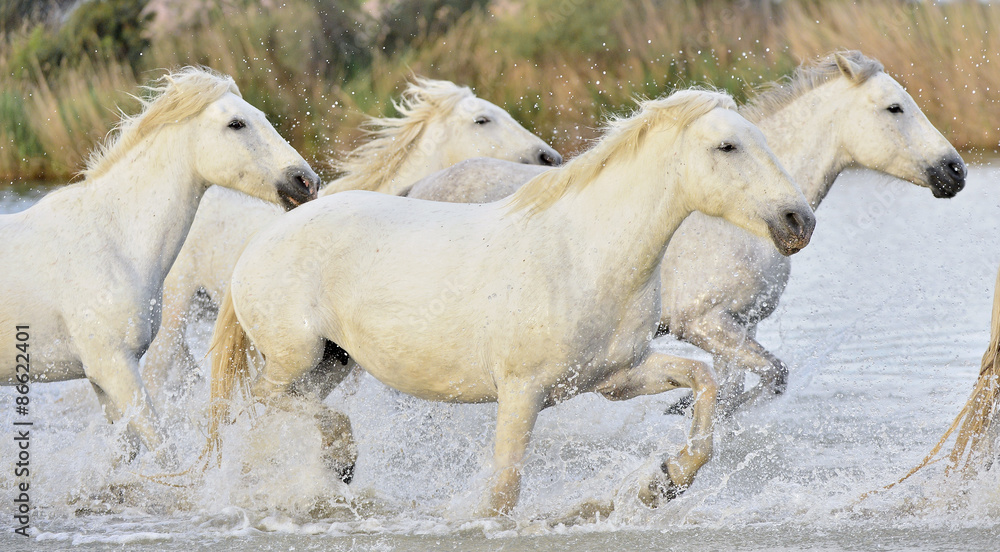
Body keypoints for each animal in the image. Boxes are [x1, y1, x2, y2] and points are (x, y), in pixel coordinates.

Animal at [0, 67, 319, 464]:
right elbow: (165, 452)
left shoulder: (101, 380)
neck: (114, 240)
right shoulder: (115, 368)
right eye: (236, 123)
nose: (306, 182)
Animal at [207, 89, 815, 515]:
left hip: (333, 363)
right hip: (296, 356)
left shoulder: (615, 379)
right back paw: (340, 459)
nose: (799, 221)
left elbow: (703, 381)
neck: (584, 253)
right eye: (727, 146)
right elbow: (503, 492)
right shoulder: (522, 393)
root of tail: (261, 240)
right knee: (267, 399)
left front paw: (665, 481)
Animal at [401, 51, 968, 415]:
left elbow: (745, 388)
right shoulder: (702, 322)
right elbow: (770, 376)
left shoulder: (739, 325)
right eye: (895, 107)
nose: (955, 171)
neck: (740, 218)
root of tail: (415, 188)